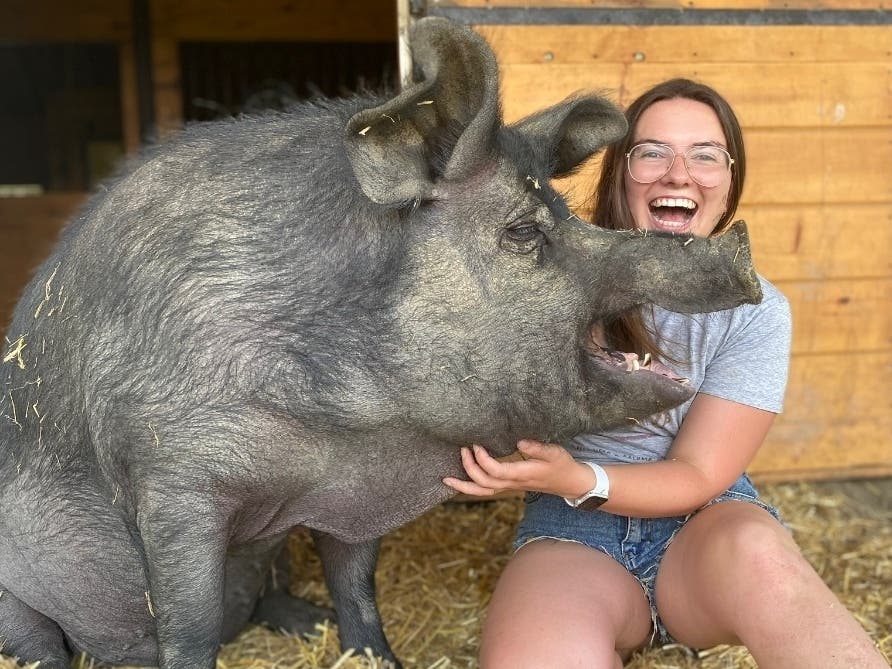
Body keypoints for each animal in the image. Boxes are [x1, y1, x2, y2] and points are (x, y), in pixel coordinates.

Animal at [0, 16, 762, 669]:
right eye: (523, 230)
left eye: (569, 212)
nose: (744, 252)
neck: (350, 421)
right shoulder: (168, 477)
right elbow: (188, 624)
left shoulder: (357, 487)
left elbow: (357, 581)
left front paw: (374, 654)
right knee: (37, 638)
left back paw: (302, 621)